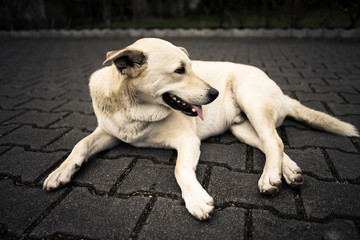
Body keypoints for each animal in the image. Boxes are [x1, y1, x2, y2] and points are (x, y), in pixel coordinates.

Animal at [43, 37, 358, 219]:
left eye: (192, 67)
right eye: (180, 70)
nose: (215, 93)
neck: (136, 110)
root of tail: (282, 93)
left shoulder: (188, 141)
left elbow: (179, 169)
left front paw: (195, 199)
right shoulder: (108, 132)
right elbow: (80, 144)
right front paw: (60, 172)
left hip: (252, 99)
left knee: (275, 142)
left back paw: (270, 177)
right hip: (242, 128)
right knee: (272, 144)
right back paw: (288, 172)